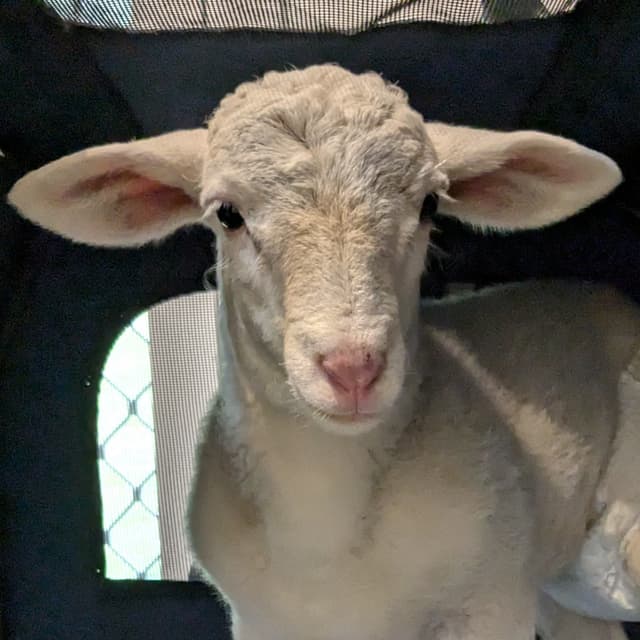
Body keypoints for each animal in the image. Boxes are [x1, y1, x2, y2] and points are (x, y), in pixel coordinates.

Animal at [7, 63, 640, 640]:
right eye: (227, 214)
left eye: (430, 205)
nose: (352, 367)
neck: (324, 535)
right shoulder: (262, 621)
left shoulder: (491, 599)